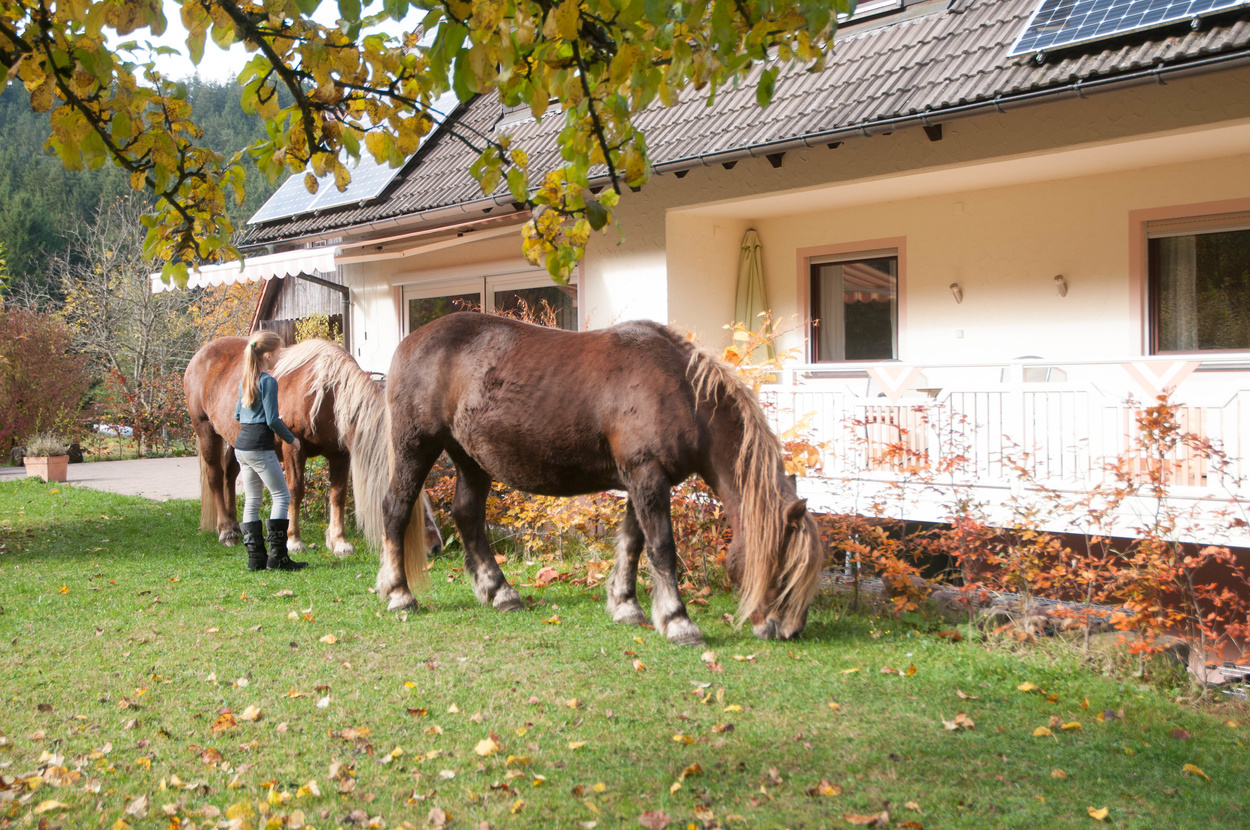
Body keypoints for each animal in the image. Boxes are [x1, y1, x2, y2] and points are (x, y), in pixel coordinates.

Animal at [183, 337, 442, 561]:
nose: (436, 546)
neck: (326, 394)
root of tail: (201, 354)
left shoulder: (340, 454)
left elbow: (338, 494)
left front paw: (339, 542)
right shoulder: (294, 450)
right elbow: (295, 491)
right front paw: (293, 540)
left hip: (237, 439)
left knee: (229, 474)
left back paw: (236, 526)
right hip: (207, 431)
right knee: (215, 477)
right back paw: (226, 531)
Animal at [374, 312, 825, 645]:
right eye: (784, 569)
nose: (787, 631)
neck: (679, 389)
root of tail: (409, 342)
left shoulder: (641, 480)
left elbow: (632, 543)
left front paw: (626, 605)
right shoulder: (647, 475)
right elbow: (662, 547)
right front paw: (678, 622)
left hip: (470, 459)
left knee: (468, 517)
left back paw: (500, 593)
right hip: (416, 446)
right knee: (396, 509)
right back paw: (400, 595)